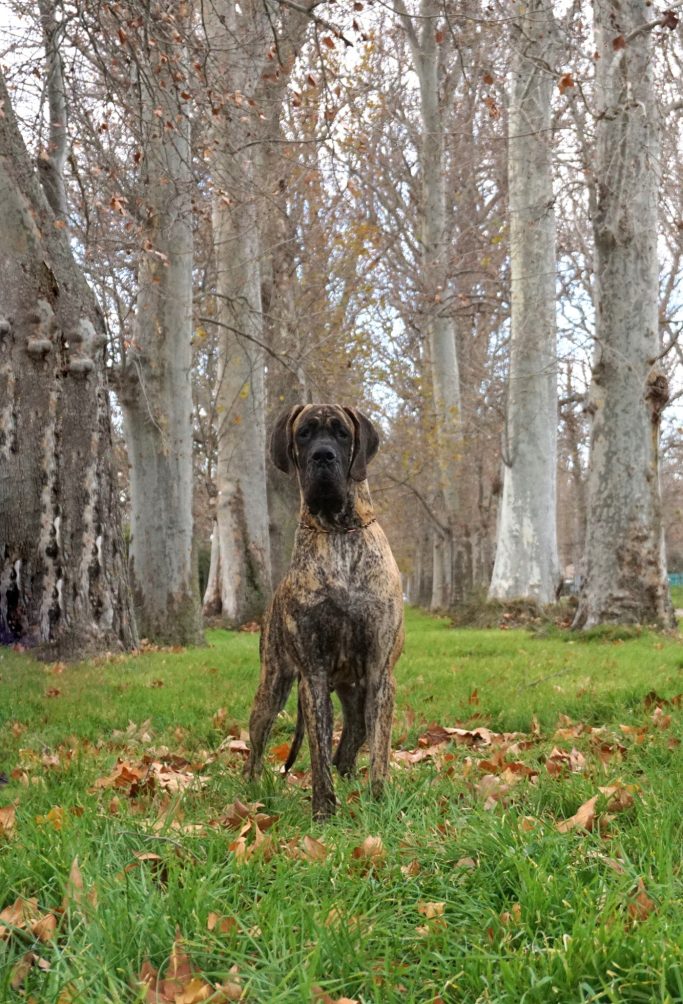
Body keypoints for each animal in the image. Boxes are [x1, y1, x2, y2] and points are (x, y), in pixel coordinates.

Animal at [244, 403, 405, 819]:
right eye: (304, 433)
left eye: (342, 433)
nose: (323, 456)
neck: (337, 531)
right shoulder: (312, 677)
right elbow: (317, 751)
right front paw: (323, 811)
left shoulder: (380, 673)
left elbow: (379, 750)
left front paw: (378, 801)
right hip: (273, 685)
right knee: (256, 745)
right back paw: (251, 790)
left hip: (356, 690)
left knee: (353, 739)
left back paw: (351, 779)